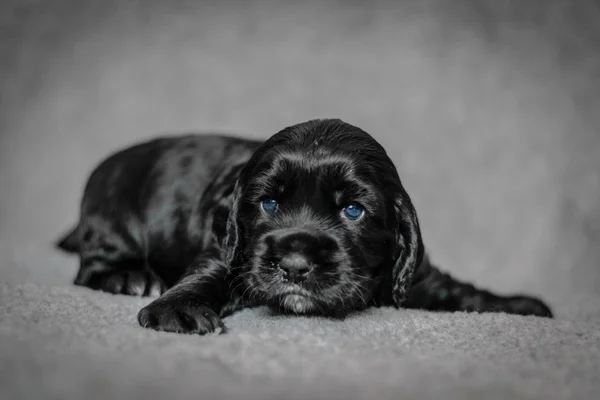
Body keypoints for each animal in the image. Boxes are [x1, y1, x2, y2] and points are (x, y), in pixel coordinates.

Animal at [56, 119, 552, 334]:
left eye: (352, 210)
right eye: (268, 203)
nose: (294, 265)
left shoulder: (414, 274)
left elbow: (456, 290)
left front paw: (521, 305)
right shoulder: (228, 248)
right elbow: (209, 273)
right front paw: (179, 309)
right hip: (112, 217)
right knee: (88, 267)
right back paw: (130, 278)